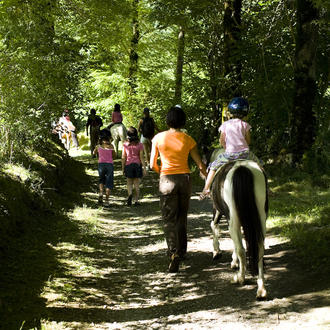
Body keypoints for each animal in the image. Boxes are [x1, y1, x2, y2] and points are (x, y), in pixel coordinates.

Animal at [211, 159, 268, 300]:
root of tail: (242, 168)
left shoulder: (219, 211)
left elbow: (215, 227)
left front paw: (217, 252)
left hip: (233, 220)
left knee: (241, 249)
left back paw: (240, 278)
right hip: (261, 219)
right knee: (259, 249)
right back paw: (261, 289)